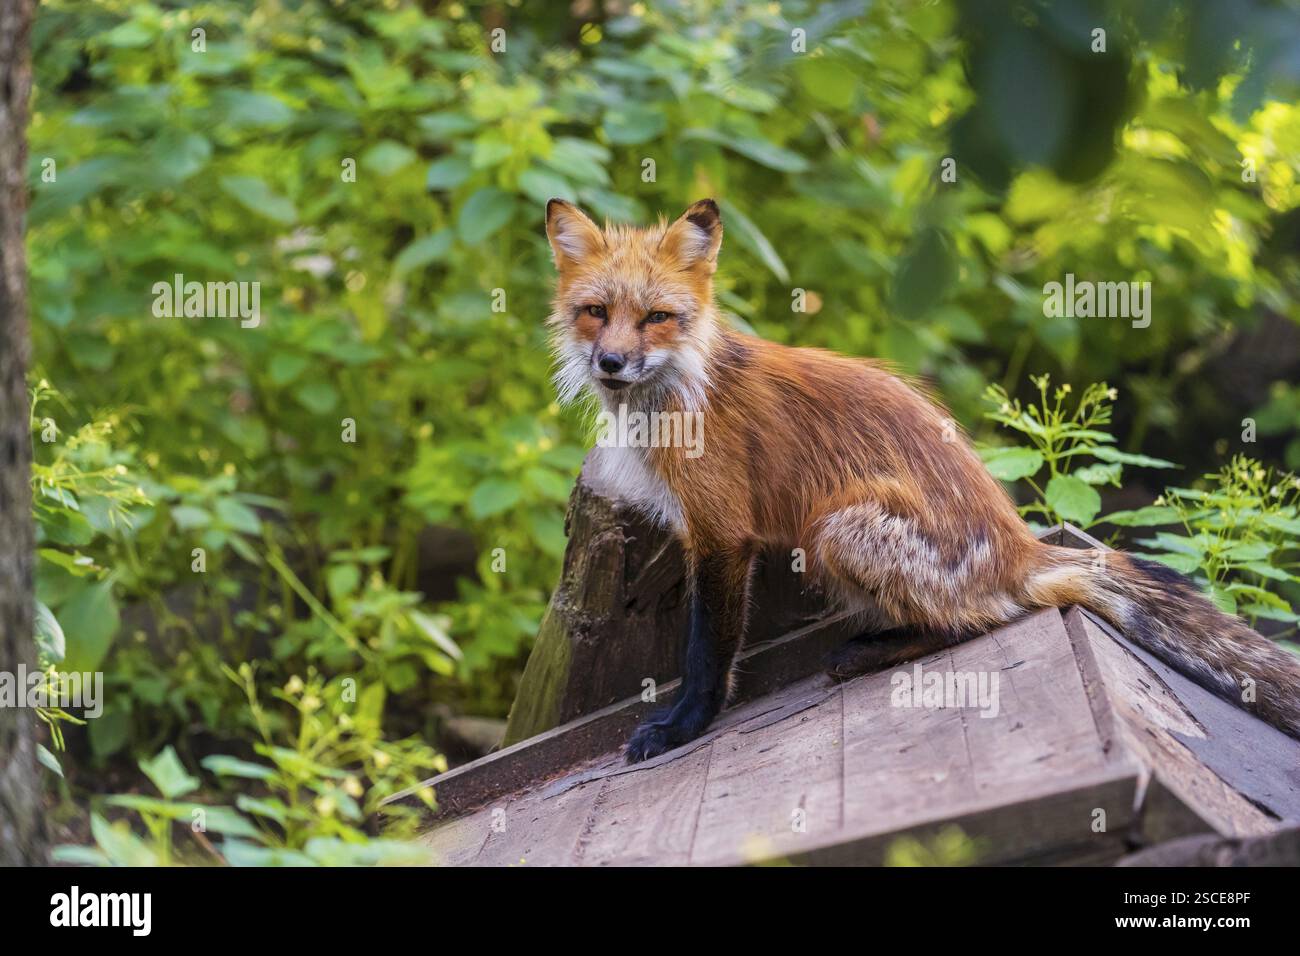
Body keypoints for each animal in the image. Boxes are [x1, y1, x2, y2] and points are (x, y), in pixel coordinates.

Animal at [544, 197, 1300, 763]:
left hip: (838, 529)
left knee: (987, 616)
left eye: (656, 318)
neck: (683, 393)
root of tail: (1021, 545)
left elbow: (705, 653)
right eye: (596, 312)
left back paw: (875, 648)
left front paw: (681, 728)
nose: (611, 362)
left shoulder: (724, 536)